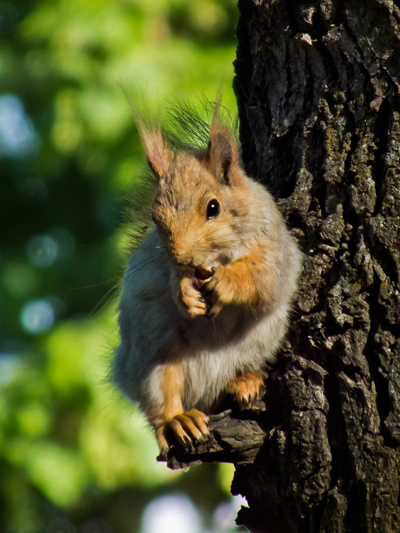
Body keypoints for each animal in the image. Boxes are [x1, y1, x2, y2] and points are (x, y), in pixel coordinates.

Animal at [111, 109, 300, 458]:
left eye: (214, 207)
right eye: (155, 218)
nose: (184, 259)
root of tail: (205, 390)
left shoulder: (276, 246)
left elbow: (264, 278)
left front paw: (229, 281)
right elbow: (170, 282)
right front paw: (184, 292)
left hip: (261, 339)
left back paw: (244, 382)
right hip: (151, 355)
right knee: (161, 397)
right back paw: (177, 421)